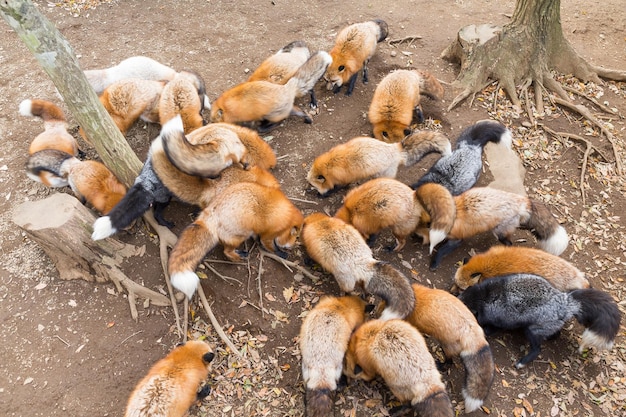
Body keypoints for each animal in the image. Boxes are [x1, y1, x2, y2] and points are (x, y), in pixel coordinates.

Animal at [166, 182, 302, 300]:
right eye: (296, 237)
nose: (292, 246)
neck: (288, 217)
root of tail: (210, 214)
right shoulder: (270, 233)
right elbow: (269, 245)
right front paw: (281, 253)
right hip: (242, 234)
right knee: (227, 251)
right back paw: (238, 257)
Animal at [306, 131, 448, 196]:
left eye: (315, 185)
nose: (308, 190)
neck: (330, 164)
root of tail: (395, 148)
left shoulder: (342, 179)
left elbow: (337, 187)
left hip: (381, 174)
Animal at [428, 186, 564, 270]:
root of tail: (523, 201)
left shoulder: (457, 239)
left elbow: (442, 250)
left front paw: (434, 262)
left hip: (499, 233)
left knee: (509, 243)